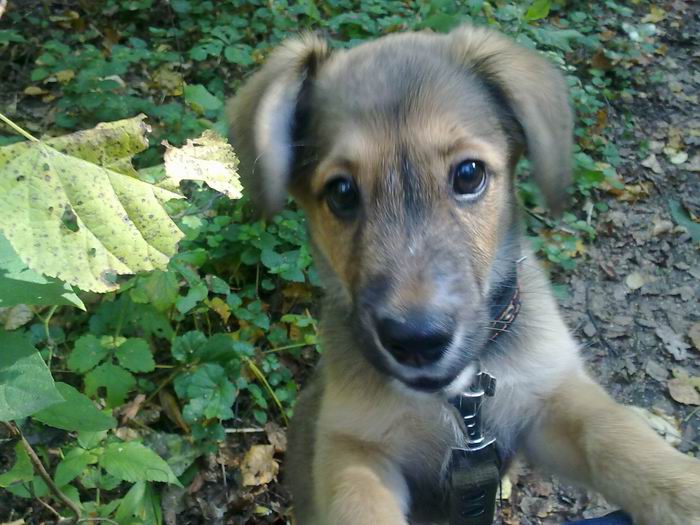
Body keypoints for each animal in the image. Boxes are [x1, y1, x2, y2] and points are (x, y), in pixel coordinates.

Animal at [228, 26, 700, 524]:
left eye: (469, 174)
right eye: (341, 193)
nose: (417, 341)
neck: (461, 397)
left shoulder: (548, 401)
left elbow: (617, 437)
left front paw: (684, 492)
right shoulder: (354, 443)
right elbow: (357, 501)